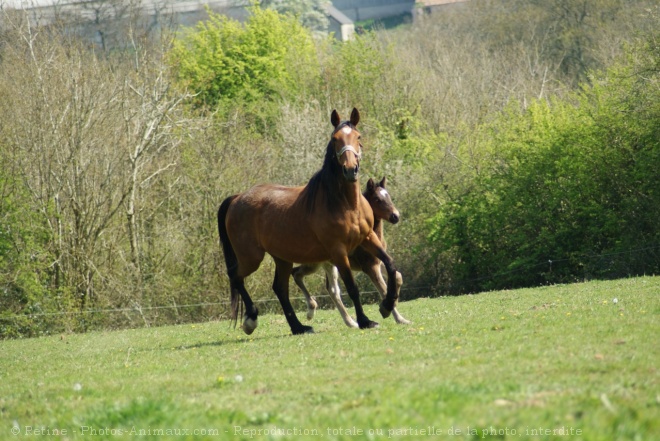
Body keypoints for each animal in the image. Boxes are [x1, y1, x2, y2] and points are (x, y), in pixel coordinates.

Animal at [292, 176, 410, 326]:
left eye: (389, 196)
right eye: (377, 199)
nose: (395, 216)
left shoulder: (378, 262)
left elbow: (398, 277)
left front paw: (395, 303)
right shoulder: (370, 266)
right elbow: (383, 289)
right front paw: (394, 314)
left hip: (329, 265)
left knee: (331, 289)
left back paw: (350, 322)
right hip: (316, 264)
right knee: (297, 274)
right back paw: (312, 311)